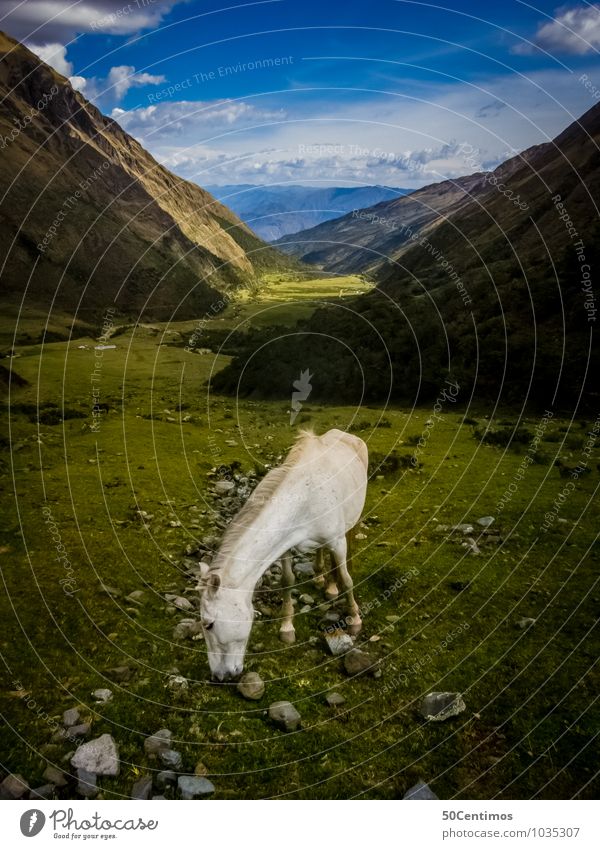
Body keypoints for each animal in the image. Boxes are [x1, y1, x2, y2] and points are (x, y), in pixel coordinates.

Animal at [202, 428, 368, 680]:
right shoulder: (287, 545)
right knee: (323, 555)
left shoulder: (338, 542)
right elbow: (287, 581)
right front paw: (287, 627)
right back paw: (324, 581)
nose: (219, 677)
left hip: (350, 525)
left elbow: (347, 580)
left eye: (209, 624)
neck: (307, 496)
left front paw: (355, 619)